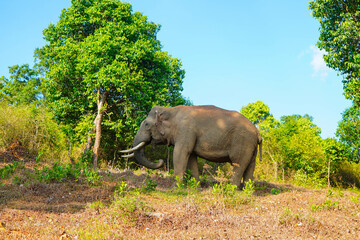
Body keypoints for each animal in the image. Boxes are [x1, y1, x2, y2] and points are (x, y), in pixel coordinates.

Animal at [121, 105, 262, 188]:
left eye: (146, 124)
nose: (160, 161)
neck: (171, 110)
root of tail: (257, 132)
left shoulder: (185, 130)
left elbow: (180, 153)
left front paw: (177, 188)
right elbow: (191, 158)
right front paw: (196, 187)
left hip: (243, 142)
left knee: (238, 164)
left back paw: (232, 190)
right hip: (251, 146)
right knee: (250, 166)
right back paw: (246, 190)